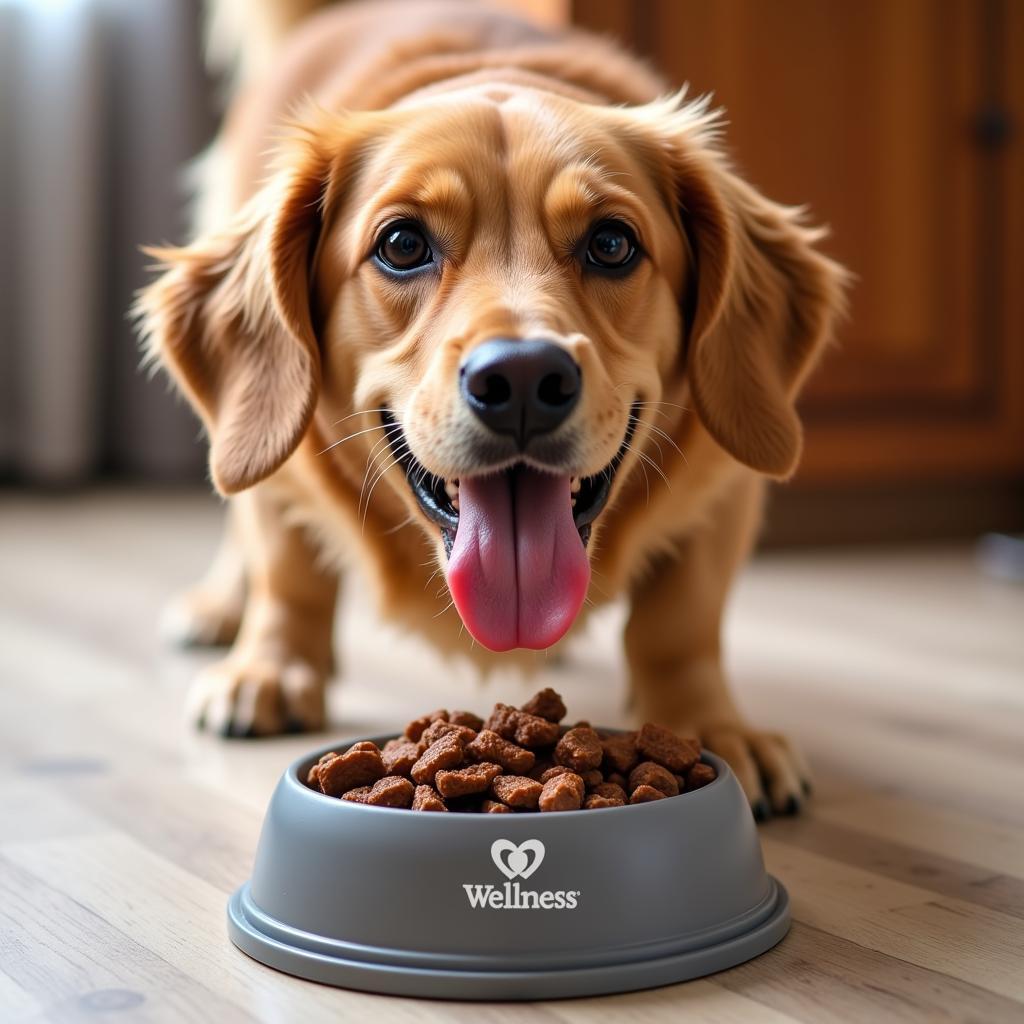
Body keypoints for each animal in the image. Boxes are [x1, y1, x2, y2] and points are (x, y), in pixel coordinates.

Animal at [140, 0, 851, 815]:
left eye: (612, 243)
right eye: (401, 243)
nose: (521, 378)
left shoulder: (723, 478)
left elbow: (681, 620)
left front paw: (711, 726)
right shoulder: (285, 464)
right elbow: (288, 570)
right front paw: (272, 667)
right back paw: (222, 610)